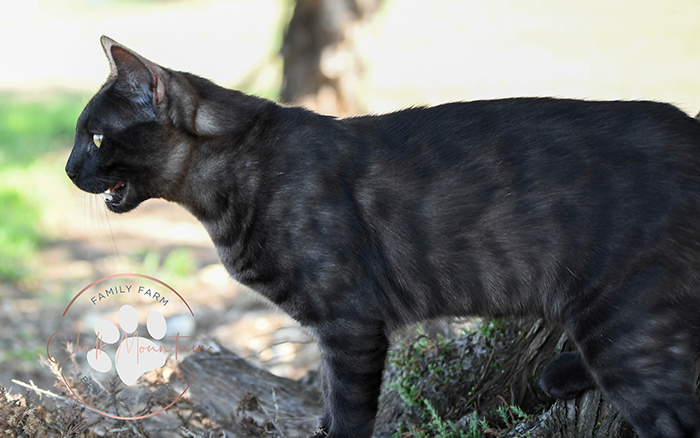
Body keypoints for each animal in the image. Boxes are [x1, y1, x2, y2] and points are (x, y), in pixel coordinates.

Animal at [67, 36, 700, 436]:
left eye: (95, 138)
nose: (69, 170)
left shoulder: (350, 324)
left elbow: (348, 412)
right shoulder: (333, 333)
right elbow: (326, 407)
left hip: (623, 319)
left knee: (676, 412)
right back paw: (561, 373)